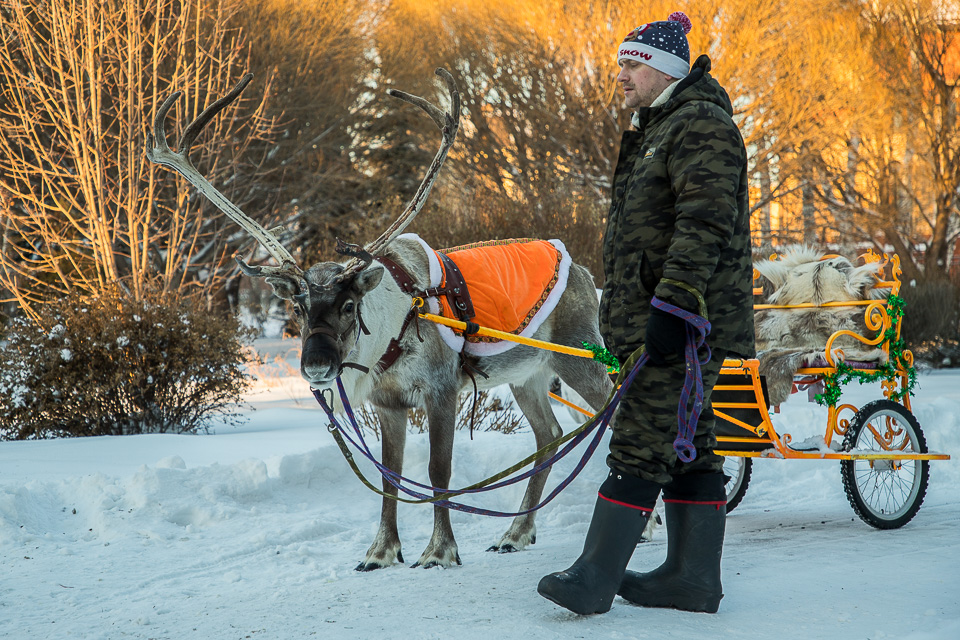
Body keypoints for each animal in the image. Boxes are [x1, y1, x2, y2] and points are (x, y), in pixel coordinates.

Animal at [146, 69, 613, 570]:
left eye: (349, 305)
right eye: (298, 307)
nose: (315, 366)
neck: (389, 335)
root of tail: (584, 271)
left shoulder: (441, 389)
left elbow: (438, 470)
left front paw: (439, 550)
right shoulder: (387, 401)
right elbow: (391, 474)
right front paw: (381, 551)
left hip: (577, 354)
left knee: (609, 407)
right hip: (528, 373)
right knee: (550, 433)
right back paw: (516, 532)